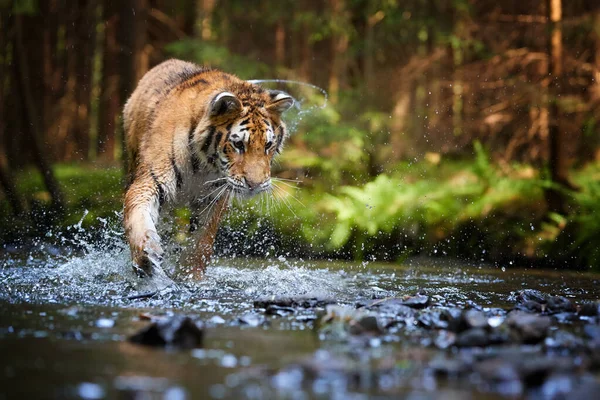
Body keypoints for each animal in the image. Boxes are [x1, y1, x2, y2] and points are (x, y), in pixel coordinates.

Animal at [122, 58, 292, 278]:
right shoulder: (151, 179)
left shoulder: (214, 200)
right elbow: (138, 215)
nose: (255, 185)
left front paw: (190, 276)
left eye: (268, 145)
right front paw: (146, 250)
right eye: (238, 144)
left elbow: (202, 242)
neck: (202, 166)